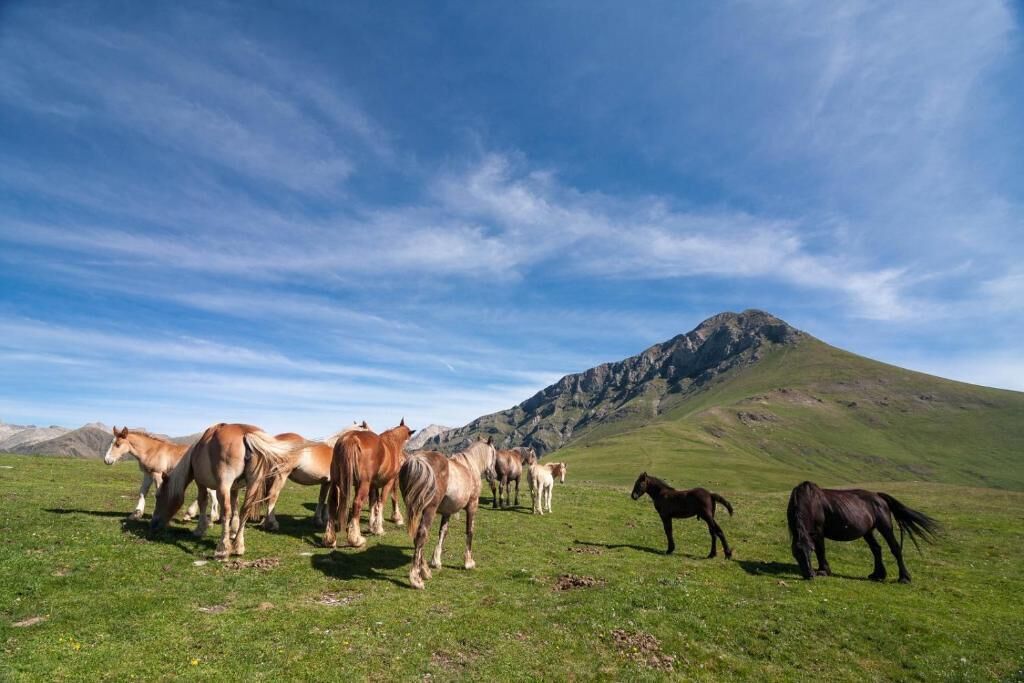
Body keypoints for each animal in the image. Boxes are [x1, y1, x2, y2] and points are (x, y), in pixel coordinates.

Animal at [151, 423, 308, 559]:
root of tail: (246, 434)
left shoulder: (201, 483)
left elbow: (204, 502)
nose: (154, 524)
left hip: (224, 484)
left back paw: (222, 549)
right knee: (245, 510)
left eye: (158, 496)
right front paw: (233, 531)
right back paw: (238, 546)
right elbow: (235, 507)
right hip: (253, 483)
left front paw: (200, 529)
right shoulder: (234, 488)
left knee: (226, 511)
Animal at [322, 419, 414, 549]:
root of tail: (350, 438)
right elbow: (382, 502)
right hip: (363, 484)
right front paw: (379, 528)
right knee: (357, 504)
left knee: (332, 503)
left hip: (336, 483)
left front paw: (372, 526)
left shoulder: (373, 485)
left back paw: (330, 539)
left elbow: (373, 503)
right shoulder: (389, 482)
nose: (404, 458)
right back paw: (356, 539)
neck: (392, 444)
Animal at [399, 437, 497, 589]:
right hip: (429, 510)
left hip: (415, 510)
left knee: (417, 537)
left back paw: (425, 570)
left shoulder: (447, 512)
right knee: (421, 535)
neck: (469, 467)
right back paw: (416, 579)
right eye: (494, 453)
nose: (493, 475)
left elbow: (443, 533)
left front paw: (436, 561)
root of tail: (418, 460)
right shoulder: (472, 506)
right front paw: (469, 562)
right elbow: (470, 532)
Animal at [787, 481, 940, 583]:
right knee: (876, 549)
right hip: (867, 532)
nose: (809, 575)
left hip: (885, 527)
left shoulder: (819, 531)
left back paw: (904, 578)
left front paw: (823, 571)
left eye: (810, 550)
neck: (811, 502)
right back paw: (877, 575)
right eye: (796, 552)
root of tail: (879, 497)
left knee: (895, 548)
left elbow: (821, 550)